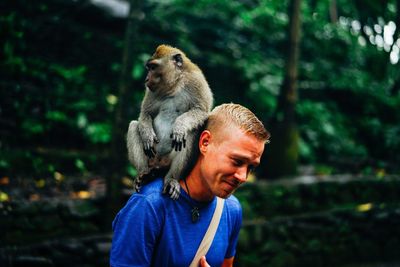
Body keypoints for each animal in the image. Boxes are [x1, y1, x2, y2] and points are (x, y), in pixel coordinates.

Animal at [126, 45, 214, 201]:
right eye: (149, 67)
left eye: (153, 67)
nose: (146, 78)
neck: (175, 84)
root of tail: (159, 164)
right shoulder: (150, 90)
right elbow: (146, 113)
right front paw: (147, 136)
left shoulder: (196, 81)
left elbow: (201, 111)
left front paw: (179, 126)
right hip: (152, 157)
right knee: (134, 126)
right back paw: (144, 174)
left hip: (168, 161)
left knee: (190, 133)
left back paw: (171, 179)